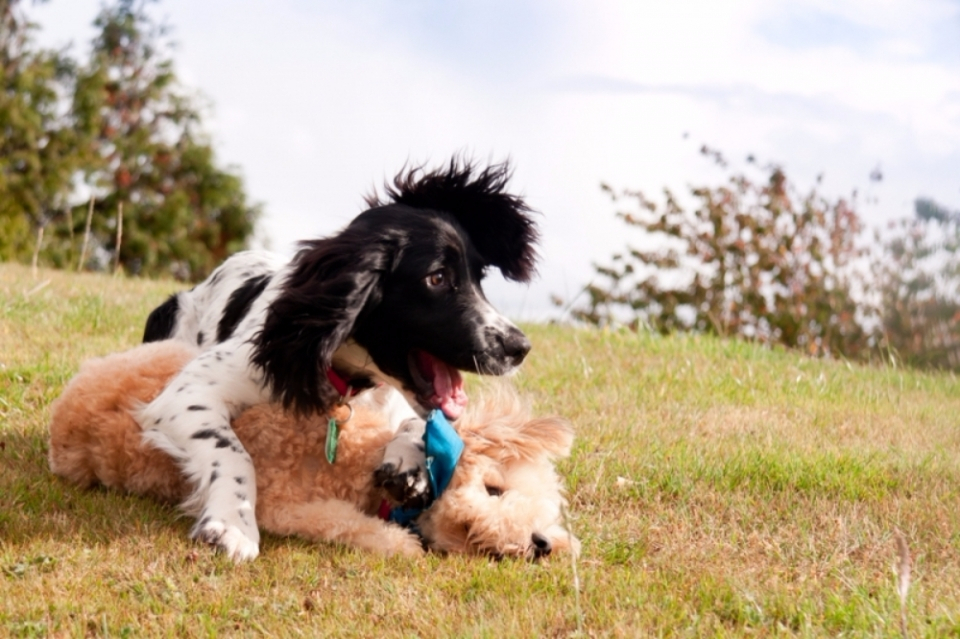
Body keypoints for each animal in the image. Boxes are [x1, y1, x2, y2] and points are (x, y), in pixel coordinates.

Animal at [138, 160, 536, 560]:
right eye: (437, 278)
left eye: (479, 279)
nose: (520, 347)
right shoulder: (187, 394)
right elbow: (233, 452)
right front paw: (233, 524)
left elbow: (416, 424)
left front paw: (408, 465)